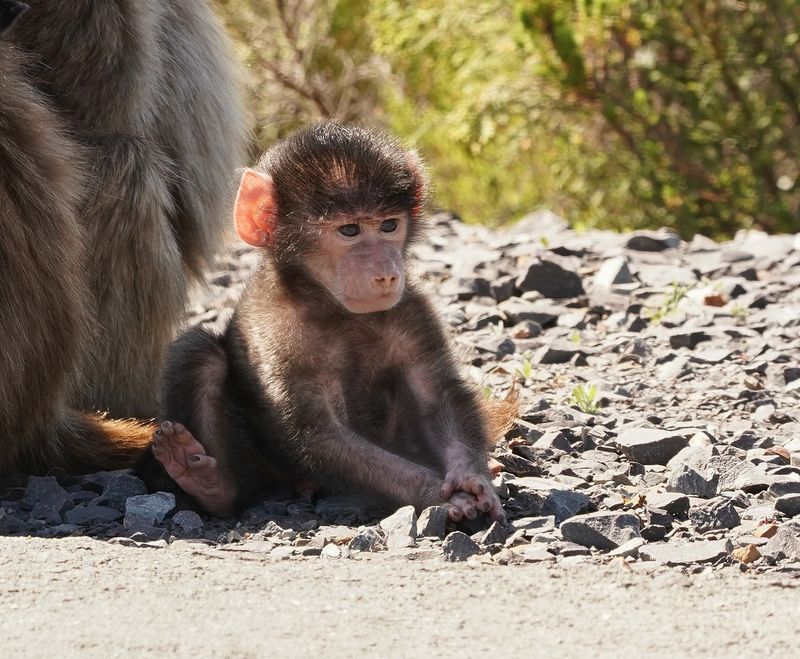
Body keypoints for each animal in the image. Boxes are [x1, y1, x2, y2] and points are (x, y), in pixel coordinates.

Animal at [136, 122, 506, 523]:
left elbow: (436, 394)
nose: (386, 274)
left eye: (389, 225)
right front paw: (439, 494)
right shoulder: (278, 331)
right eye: (349, 231)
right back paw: (211, 484)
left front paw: (472, 479)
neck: (331, 306)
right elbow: (314, 430)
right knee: (202, 355)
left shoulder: (412, 310)